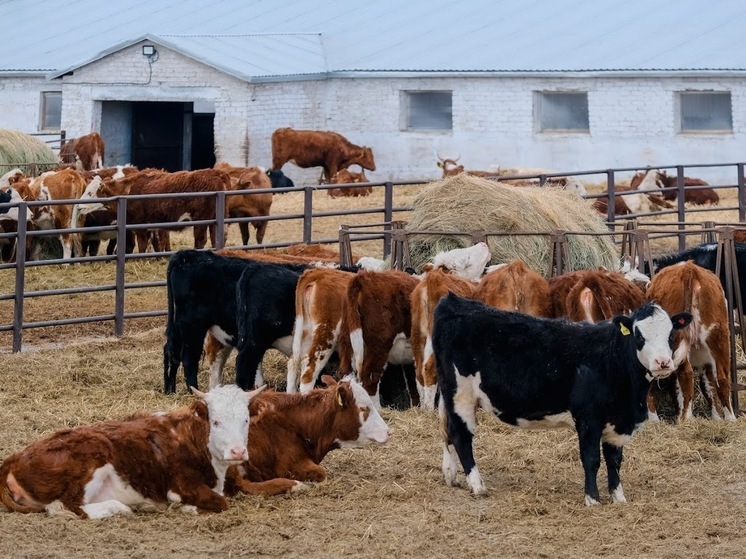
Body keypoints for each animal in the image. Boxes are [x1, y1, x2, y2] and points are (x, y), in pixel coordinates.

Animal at [0, 384, 302, 520]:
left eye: (246, 420)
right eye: (215, 421)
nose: (238, 452)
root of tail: (16, 457)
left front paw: (294, 484)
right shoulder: (182, 485)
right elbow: (218, 502)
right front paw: (187, 507)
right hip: (90, 462)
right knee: (67, 506)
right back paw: (120, 507)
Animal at [430, 298, 692, 508]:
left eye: (670, 334)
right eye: (639, 336)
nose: (662, 362)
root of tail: (453, 301)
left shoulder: (618, 422)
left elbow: (615, 461)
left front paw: (618, 497)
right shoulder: (588, 418)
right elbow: (591, 459)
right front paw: (592, 499)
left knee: (448, 432)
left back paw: (452, 476)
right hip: (461, 394)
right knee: (461, 435)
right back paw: (477, 485)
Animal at [644, 260, 732, 422]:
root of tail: (689, 268)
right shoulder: (706, 361)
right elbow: (708, 385)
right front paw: (717, 418)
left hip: (679, 341)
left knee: (686, 374)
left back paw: (684, 419)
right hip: (719, 337)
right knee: (723, 378)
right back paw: (731, 419)